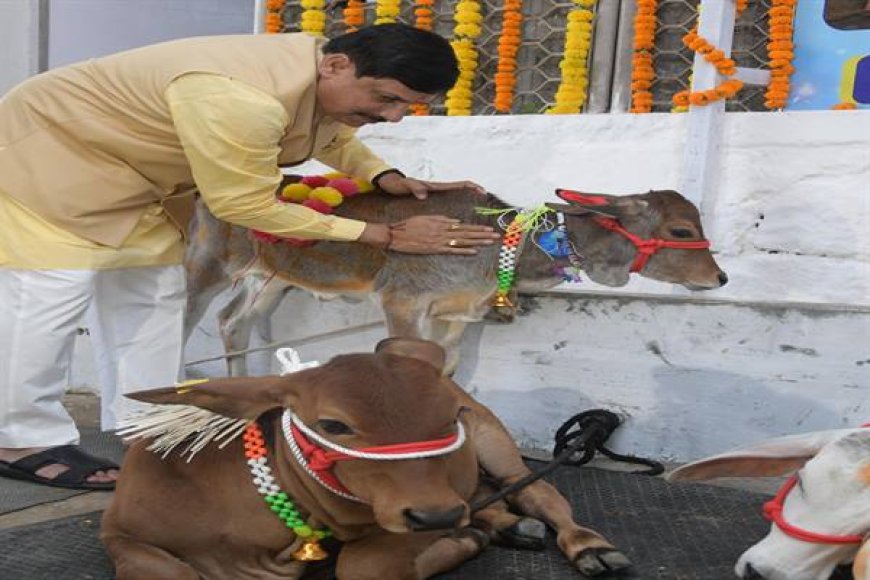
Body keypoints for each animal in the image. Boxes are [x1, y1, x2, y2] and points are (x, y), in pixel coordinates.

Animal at [102, 338, 632, 576]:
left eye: (450, 416)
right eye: (333, 425)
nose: (436, 516)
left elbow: (361, 567)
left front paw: (460, 543)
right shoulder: (120, 536)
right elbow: (167, 568)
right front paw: (473, 534)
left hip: (495, 445)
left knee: (538, 491)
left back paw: (587, 545)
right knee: (491, 498)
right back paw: (508, 526)